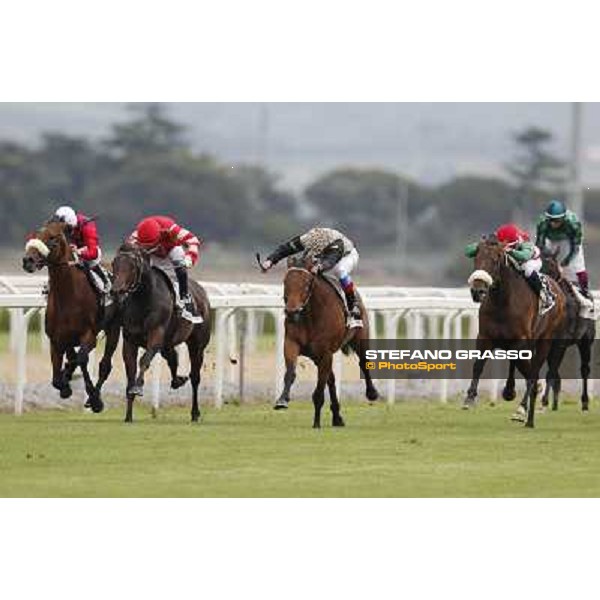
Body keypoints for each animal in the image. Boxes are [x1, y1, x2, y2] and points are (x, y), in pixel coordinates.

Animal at [22, 220, 119, 412]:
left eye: (52, 237)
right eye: (34, 235)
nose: (28, 260)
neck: (68, 296)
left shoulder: (89, 336)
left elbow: (81, 359)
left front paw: (94, 398)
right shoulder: (56, 339)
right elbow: (57, 377)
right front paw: (65, 384)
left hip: (113, 329)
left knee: (105, 364)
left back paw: (94, 397)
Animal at [111, 243, 212, 422]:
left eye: (132, 266)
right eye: (114, 264)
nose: (116, 291)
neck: (143, 299)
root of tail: (201, 292)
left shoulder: (156, 335)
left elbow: (144, 361)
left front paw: (138, 388)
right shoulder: (130, 341)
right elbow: (130, 371)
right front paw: (128, 414)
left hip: (197, 345)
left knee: (195, 377)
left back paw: (195, 413)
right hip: (168, 343)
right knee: (173, 358)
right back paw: (177, 380)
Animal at [268, 258, 380, 426]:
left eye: (307, 283)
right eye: (285, 281)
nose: (292, 312)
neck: (311, 316)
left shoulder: (325, 353)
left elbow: (319, 391)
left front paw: (316, 423)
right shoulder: (291, 343)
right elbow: (290, 373)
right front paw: (282, 400)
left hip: (360, 338)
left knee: (364, 363)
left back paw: (371, 393)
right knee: (331, 379)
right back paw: (337, 416)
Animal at [464, 234, 568, 426]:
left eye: (495, 260)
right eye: (476, 258)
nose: (478, 291)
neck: (503, 301)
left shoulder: (520, 341)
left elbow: (529, 372)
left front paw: (524, 405)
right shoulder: (485, 337)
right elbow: (478, 365)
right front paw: (470, 398)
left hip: (545, 341)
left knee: (533, 369)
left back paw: (521, 408)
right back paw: (510, 392)